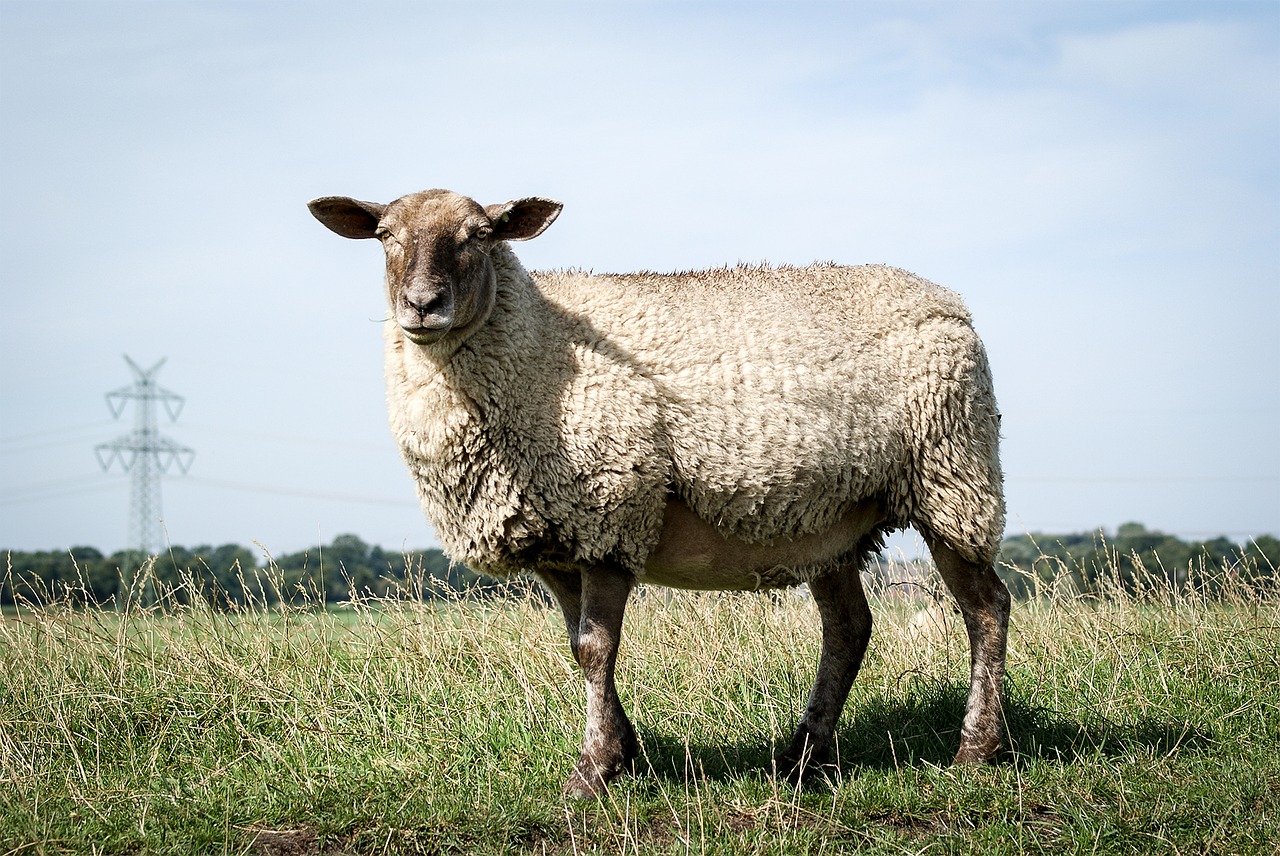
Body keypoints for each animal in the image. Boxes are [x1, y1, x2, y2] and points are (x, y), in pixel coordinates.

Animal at [307, 190, 1008, 798]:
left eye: (478, 234)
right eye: (385, 235)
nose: (423, 304)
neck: (539, 343)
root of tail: (950, 300)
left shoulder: (611, 512)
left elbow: (595, 649)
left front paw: (592, 773)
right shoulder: (558, 539)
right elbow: (580, 647)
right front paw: (622, 752)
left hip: (954, 479)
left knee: (986, 608)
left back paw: (975, 749)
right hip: (827, 520)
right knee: (849, 628)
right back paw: (802, 755)